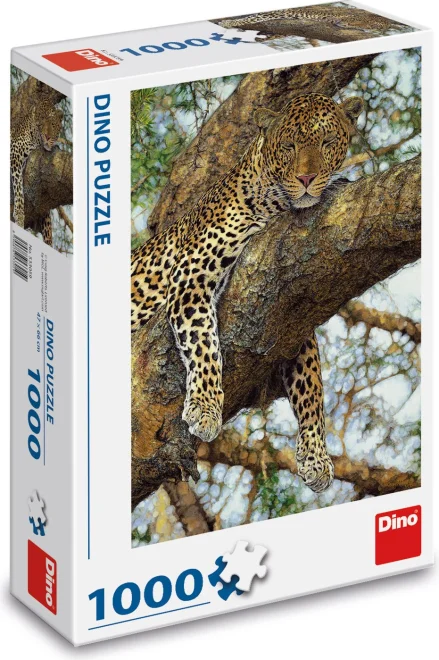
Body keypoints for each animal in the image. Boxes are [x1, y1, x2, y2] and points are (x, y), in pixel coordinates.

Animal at [10, 98, 63, 247]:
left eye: (52, 124)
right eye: (40, 124)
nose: (47, 136)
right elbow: (19, 190)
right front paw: (19, 215)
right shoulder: (14, 152)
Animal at [131, 93, 364, 493]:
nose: (307, 179)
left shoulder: (292, 319)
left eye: (327, 142)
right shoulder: (191, 275)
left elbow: (312, 385)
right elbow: (204, 344)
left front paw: (316, 456)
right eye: (289, 146)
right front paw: (205, 407)